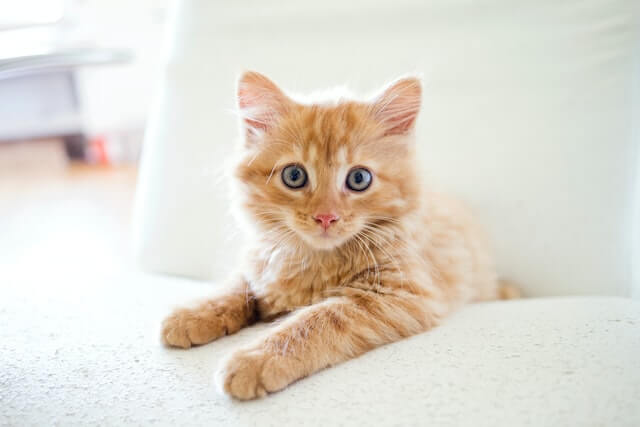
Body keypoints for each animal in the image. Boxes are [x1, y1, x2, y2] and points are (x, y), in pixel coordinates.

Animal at [160, 71, 516, 402]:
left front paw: (255, 360)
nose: (326, 217)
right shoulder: (261, 261)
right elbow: (237, 286)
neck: (315, 259)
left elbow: (316, 319)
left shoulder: (400, 294)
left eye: (359, 179)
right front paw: (192, 314)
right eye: (294, 175)